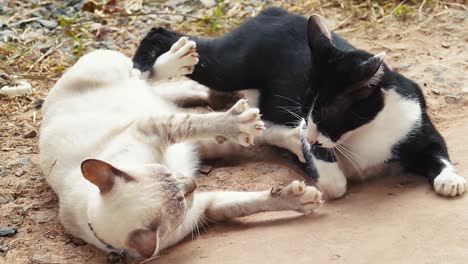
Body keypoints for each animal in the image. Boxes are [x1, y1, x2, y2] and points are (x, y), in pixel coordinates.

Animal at [40, 38, 324, 258]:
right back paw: (293, 140)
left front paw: (235, 121)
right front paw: (300, 200)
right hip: (207, 144)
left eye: (168, 174)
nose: (192, 183)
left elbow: (193, 122)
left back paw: (182, 60)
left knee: (143, 74)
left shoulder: (153, 128)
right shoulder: (203, 209)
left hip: (113, 70)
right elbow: (249, 203)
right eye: (182, 198)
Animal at [133, 7, 466, 199]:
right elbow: (335, 183)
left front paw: (450, 179)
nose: (309, 133)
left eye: (327, 112)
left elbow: (438, 151)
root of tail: (275, 11)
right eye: (306, 107)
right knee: (167, 37)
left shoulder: (417, 123)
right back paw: (149, 65)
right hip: (230, 65)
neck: (368, 131)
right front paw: (300, 152)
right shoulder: (314, 140)